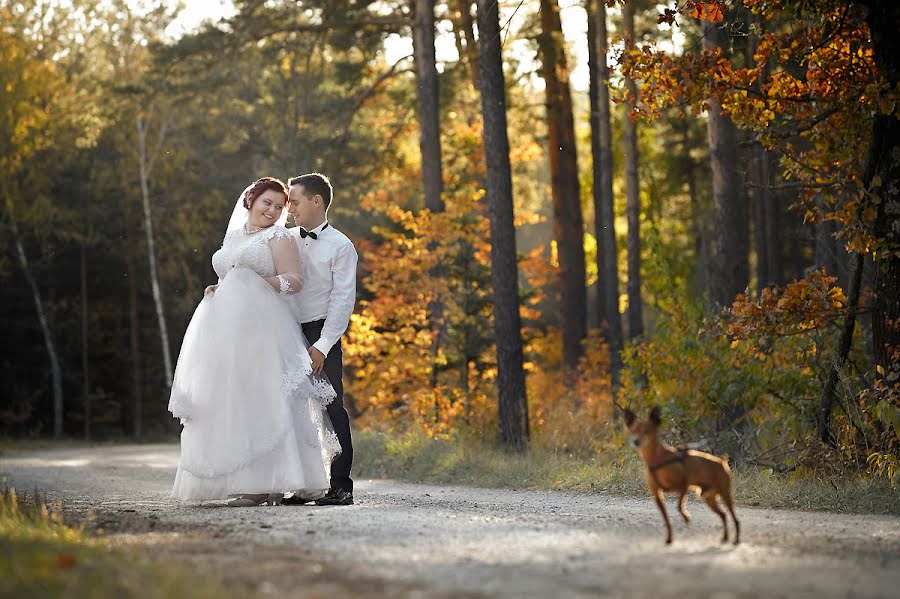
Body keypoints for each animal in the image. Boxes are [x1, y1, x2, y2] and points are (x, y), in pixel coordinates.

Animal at [624, 406, 740, 548]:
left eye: (647, 431)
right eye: (633, 431)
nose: (636, 441)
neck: (657, 458)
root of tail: (722, 462)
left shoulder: (683, 486)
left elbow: (679, 506)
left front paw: (685, 517)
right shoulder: (658, 495)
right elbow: (667, 519)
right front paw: (669, 538)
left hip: (725, 494)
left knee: (735, 518)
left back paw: (736, 540)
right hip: (708, 497)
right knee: (723, 515)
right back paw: (725, 538)